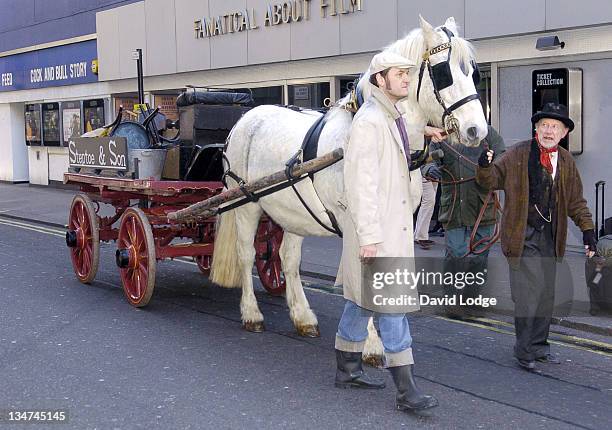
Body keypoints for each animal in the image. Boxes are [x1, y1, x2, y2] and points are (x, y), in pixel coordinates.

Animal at [210, 15, 488, 356]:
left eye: (474, 71)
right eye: (443, 71)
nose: (476, 130)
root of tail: (246, 118)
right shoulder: (356, 223)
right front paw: (371, 344)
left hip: (292, 210)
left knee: (288, 258)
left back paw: (303, 317)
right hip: (247, 204)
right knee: (246, 253)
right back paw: (252, 314)